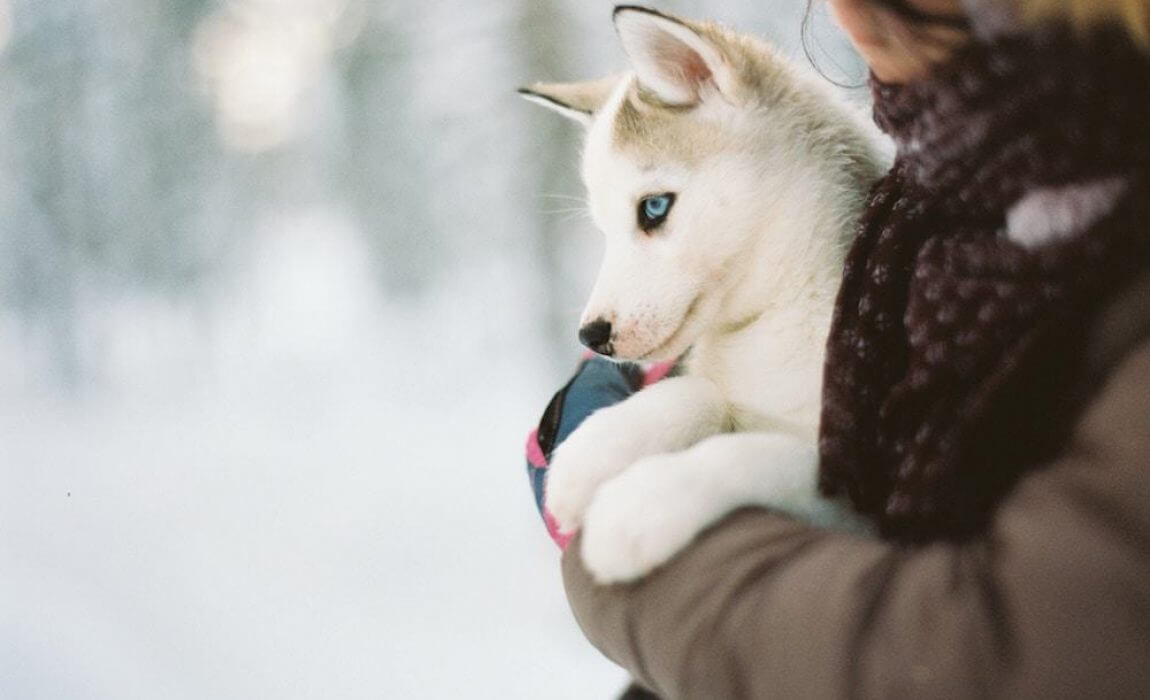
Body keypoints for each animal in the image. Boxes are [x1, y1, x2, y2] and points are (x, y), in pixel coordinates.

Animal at [522, 6, 887, 583]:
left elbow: (762, 453)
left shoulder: (870, 496)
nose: (591, 335)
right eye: (602, 228)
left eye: (653, 208)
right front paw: (598, 449)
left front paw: (642, 505)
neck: (775, 315)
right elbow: (698, 392)